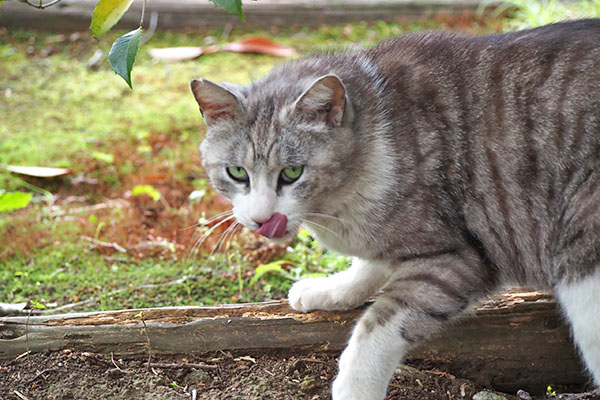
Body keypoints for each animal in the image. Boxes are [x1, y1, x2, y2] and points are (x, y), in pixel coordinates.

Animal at [190, 20, 600, 400]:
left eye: (292, 173)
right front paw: (332, 289)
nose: (261, 219)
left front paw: (353, 388)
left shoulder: (454, 261)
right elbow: (368, 267)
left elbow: (377, 329)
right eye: (236, 172)